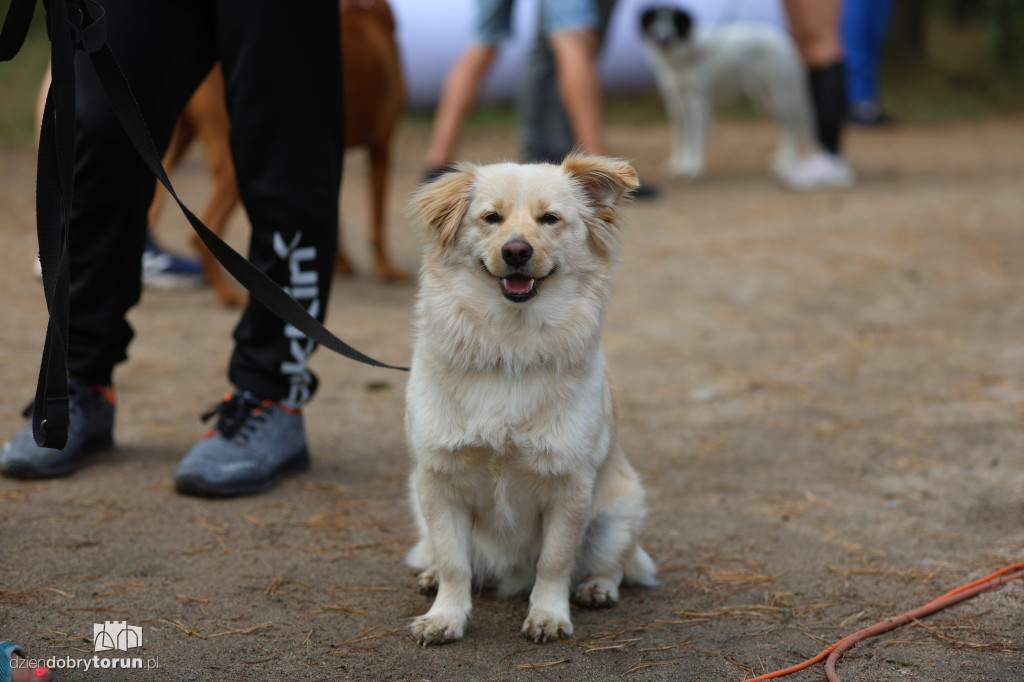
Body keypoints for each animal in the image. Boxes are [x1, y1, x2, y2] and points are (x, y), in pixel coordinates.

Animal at [148, 0, 407, 303]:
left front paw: (341, 265)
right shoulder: (383, 144)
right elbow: (378, 219)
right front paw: (385, 269)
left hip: (173, 146)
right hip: (235, 165)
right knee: (204, 230)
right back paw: (230, 296)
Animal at [401, 153, 655, 643]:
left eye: (549, 219)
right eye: (491, 218)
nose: (516, 251)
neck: (509, 348)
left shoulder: (570, 486)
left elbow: (555, 561)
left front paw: (549, 616)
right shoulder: (438, 482)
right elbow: (455, 561)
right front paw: (446, 617)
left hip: (619, 514)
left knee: (614, 564)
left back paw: (597, 588)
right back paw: (431, 577)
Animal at [638, 3, 815, 179]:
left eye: (674, 21)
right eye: (655, 21)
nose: (663, 39)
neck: (682, 55)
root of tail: (788, 42)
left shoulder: (699, 101)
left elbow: (696, 135)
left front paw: (694, 167)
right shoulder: (675, 101)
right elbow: (681, 134)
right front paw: (678, 164)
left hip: (782, 96)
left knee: (794, 126)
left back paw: (789, 160)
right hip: (767, 99)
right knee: (786, 127)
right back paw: (783, 156)